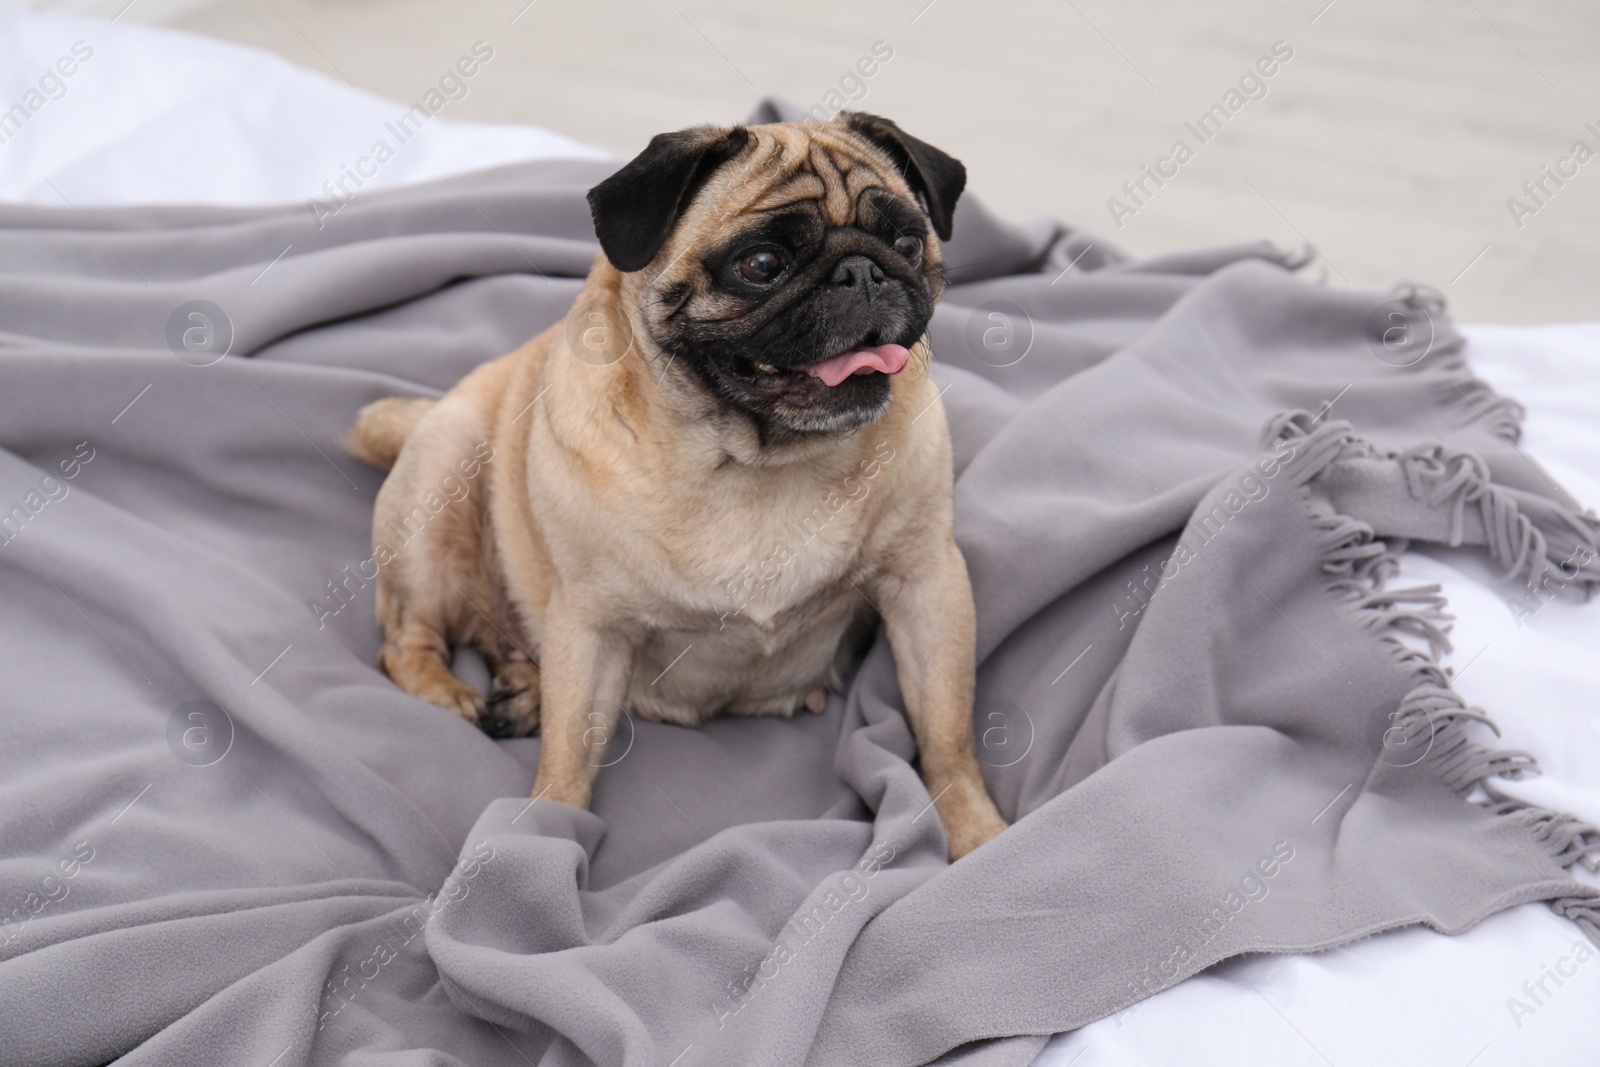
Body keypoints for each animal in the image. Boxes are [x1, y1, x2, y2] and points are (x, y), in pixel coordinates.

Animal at [350, 112, 1004, 857]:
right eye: (761, 265)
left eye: (907, 242)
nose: (862, 270)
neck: (757, 464)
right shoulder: (591, 623)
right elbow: (567, 754)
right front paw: (544, 834)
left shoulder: (926, 583)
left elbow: (946, 731)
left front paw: (977, 833)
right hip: (437, 488)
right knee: (406, 642)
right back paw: (454, 696)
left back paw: (522, 687)